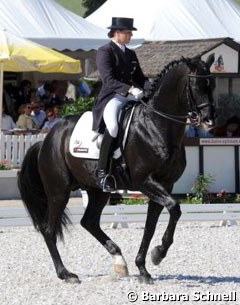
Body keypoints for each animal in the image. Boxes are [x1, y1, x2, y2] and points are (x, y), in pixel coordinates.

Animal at [17, 54, 215, 282]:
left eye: (212, 85)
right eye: (197, 85)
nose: (209, 120)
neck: (156, 126)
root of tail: (47, 139)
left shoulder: (166, 184)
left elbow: (151, 225)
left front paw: (144, 268)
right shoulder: (145, 181)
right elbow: (174, 208)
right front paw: (158, 254)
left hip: (97, 190)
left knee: (89, 222)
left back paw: (119, 261)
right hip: (59, 191)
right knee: (49, 229)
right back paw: (66, 274)